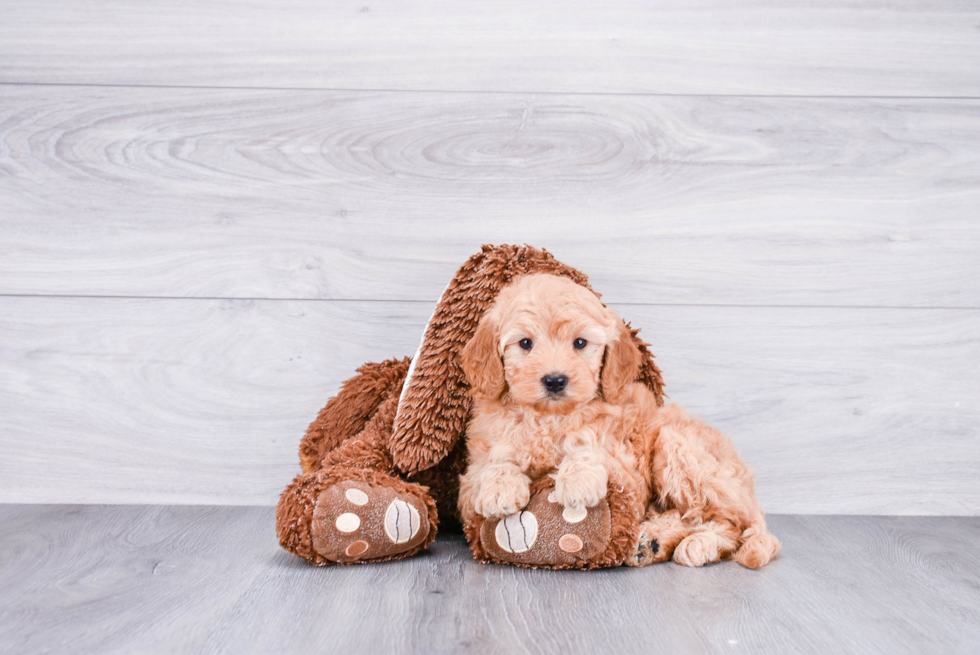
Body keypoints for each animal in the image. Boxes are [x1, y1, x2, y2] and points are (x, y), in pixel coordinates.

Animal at [458, 272, 780, 568]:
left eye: (580, 343)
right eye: (525, 343)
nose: (555, 380)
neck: (550, 419)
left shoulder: (628, 476)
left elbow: (590, 446)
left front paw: (577, 480)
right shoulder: (470, 478)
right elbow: (492, 462)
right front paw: (500, 488)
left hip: (678, 446)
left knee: (729, 522)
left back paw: (698, 543)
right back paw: (652, 542)